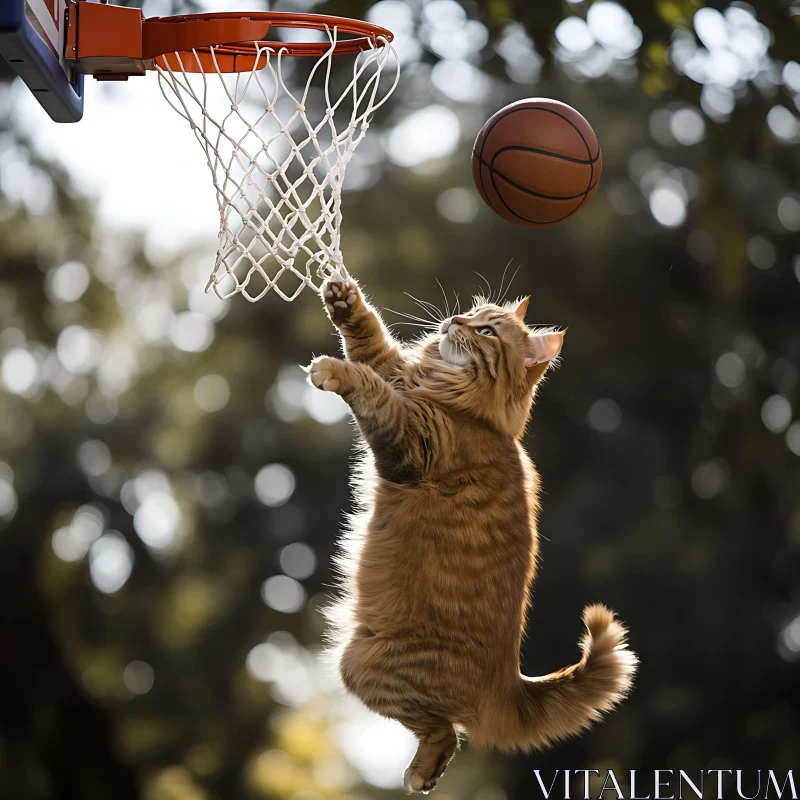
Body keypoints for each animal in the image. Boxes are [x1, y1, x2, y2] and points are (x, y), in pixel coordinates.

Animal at [306, 266, 636, 792]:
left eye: (486, 331)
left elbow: (368, 385)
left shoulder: (410, 440)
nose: (454, 320)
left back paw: (421, 776)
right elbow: (369, 337)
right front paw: (342, 298)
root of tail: (511, 680)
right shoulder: (395, 371)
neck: (454, 395)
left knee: (445, 733)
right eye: (474, 313)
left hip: (361, 662)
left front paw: (333, 370)